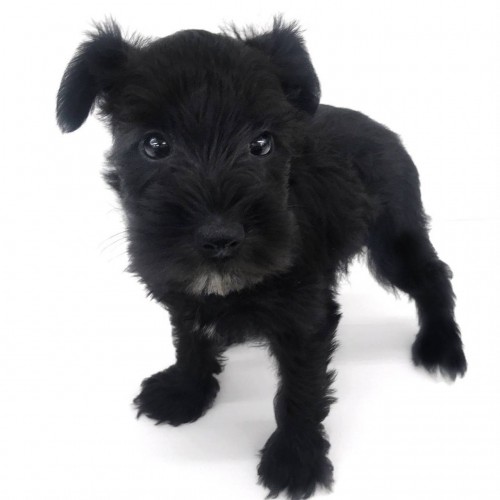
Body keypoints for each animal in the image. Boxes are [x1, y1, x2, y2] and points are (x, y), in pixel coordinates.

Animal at [56, 18, 467, 499]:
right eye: (155, 145)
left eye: (261, 143)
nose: (220, 237)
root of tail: (385, 130)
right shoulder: (181, 290)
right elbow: (189, 339)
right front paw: (185, 392)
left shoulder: (303, 320)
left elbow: (301, 387)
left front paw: (295, 459)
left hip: (394, 241)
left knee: (433, 275)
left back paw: (442, 346)